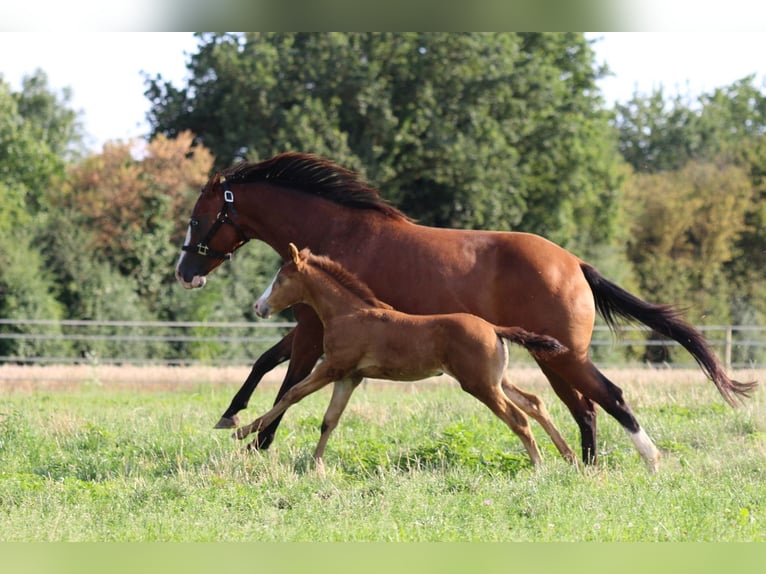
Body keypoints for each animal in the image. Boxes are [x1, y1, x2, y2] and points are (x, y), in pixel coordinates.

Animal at [235, 243, 574, 468]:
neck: (347, 313)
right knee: (534, 403)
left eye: (280, 279)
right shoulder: (350, 377)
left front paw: (241, 430)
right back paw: (568, 455)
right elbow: (329, 420)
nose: (258, 307)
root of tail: (493, 327)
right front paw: (315, 465)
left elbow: (291, 393)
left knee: (518, 418)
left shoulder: (333, 368)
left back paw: (539, 465)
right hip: (496, 379)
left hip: (480, 384)